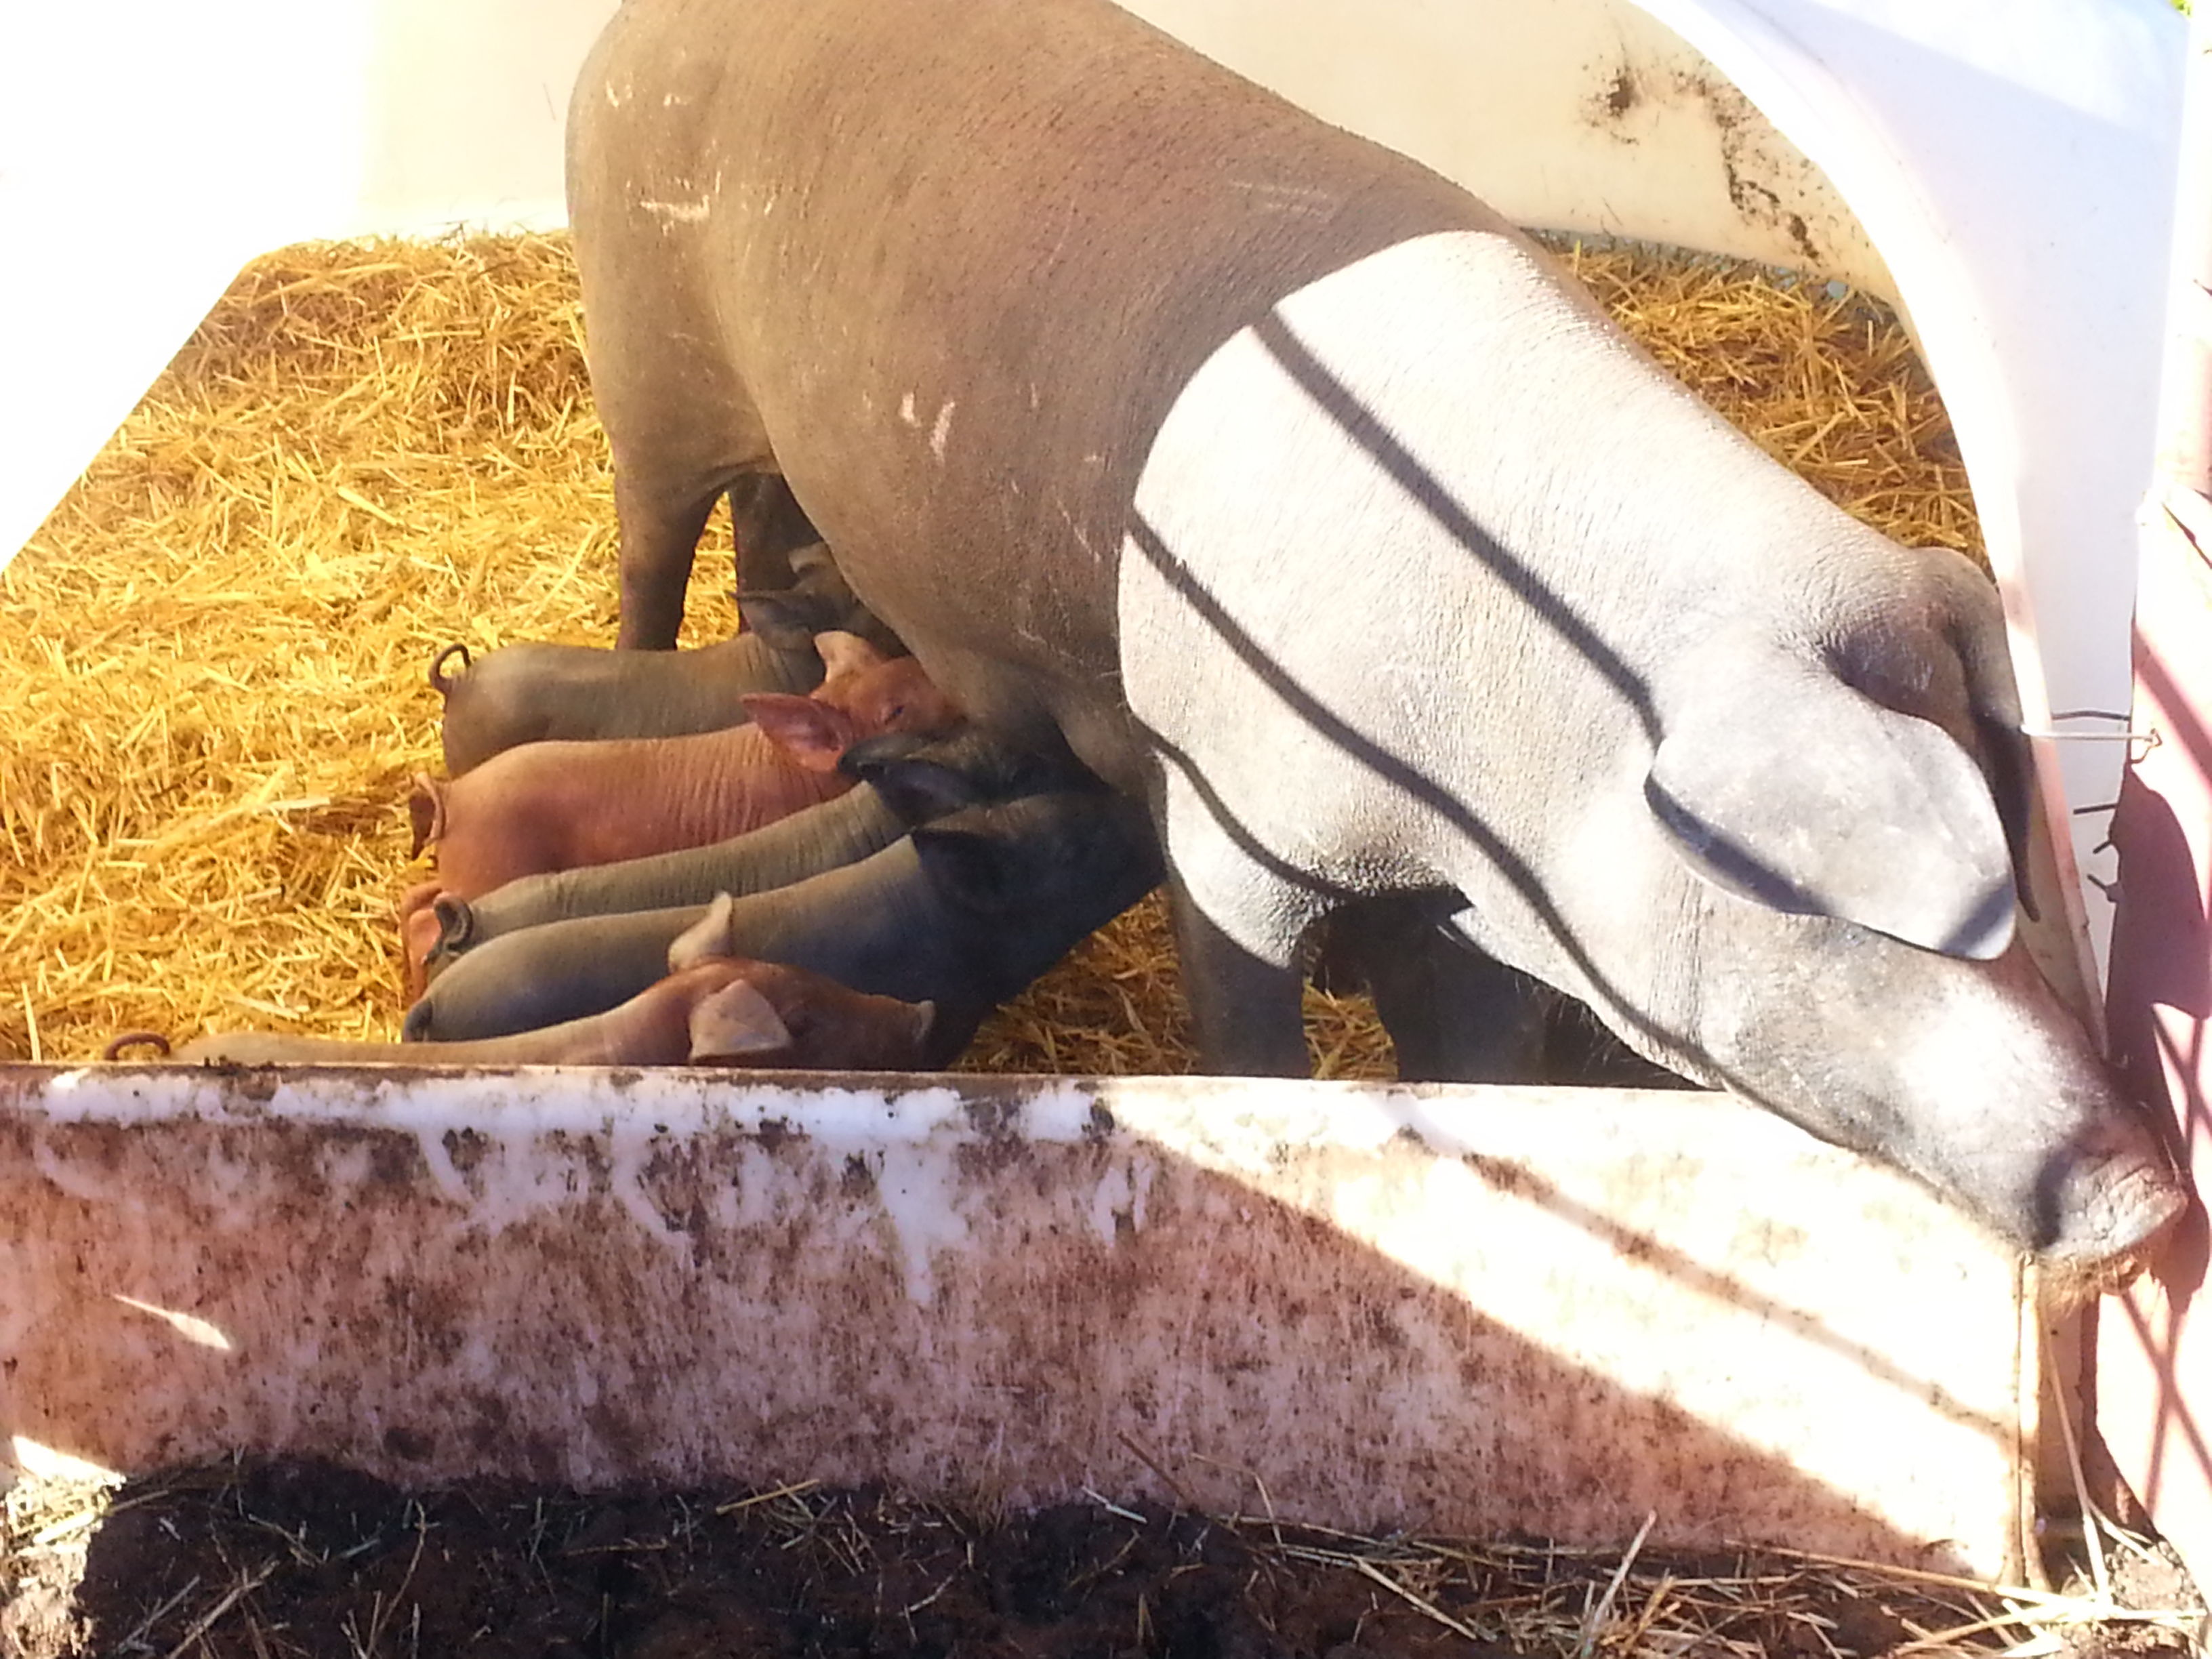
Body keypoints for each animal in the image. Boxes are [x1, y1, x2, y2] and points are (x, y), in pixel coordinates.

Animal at [563, 0, 2186, 1270]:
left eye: (2002, 853)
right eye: (1820, 898)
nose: (2145, 1203)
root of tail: (634, 29)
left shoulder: (1464, 910)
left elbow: (1475, 1059)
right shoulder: (1225, 812)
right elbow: (1249, 1023)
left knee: (765, 528)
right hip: (642, 352)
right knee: (652, 549)